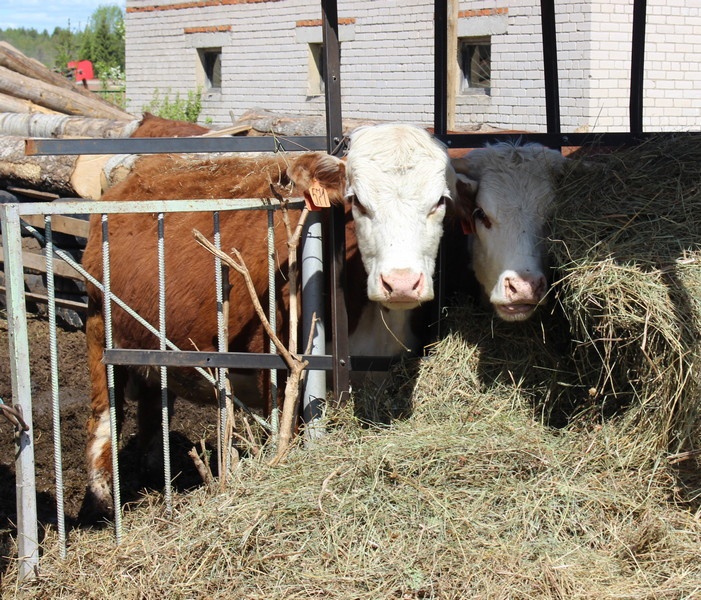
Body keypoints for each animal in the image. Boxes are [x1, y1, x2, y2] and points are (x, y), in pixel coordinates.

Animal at [83, 123, 454, 516]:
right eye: (357, 201)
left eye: (440, 201)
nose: (401, 283)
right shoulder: (275, 365)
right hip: (98, 322)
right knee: (103, 417)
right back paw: (105, 501)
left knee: (153, 406)